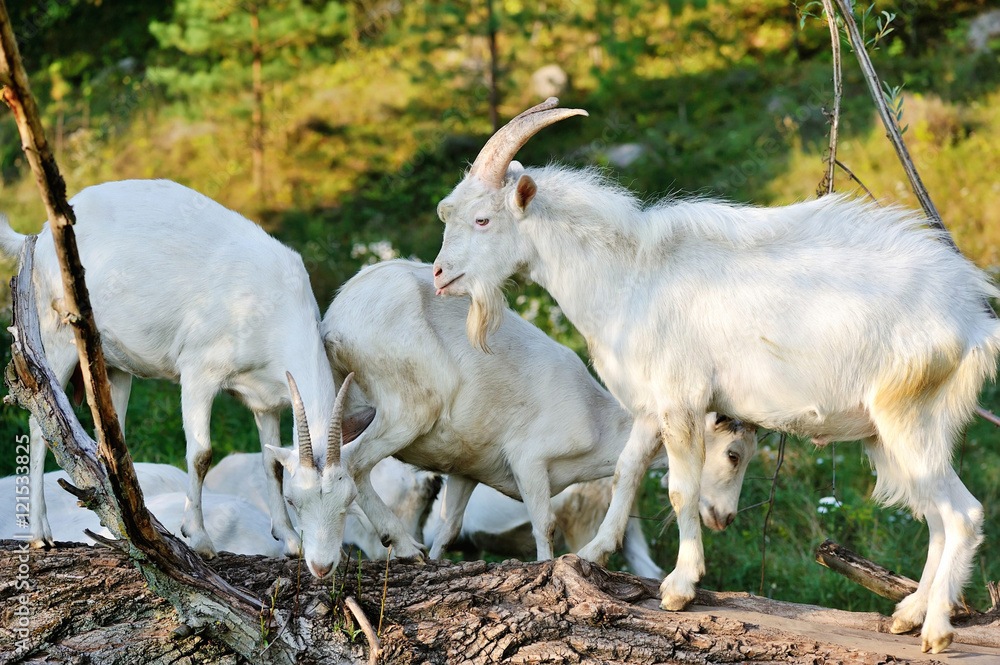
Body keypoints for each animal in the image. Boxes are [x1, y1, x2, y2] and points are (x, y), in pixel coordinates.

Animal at [0, 180, 367, 557]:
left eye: (349, 500)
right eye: (296, 501)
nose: (323, 564)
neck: (270, 309)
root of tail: (41, 235)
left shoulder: (265, 398)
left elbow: (272, 463)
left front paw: (290, 539)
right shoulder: (199, 371)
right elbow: (201, 454)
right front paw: (199, 538)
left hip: (111, 363)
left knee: (112, 436)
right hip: (54, 331)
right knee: (41, 421)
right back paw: (41, 533)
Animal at [267, 258, 756, 580]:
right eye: (734, 454)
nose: (725, 517)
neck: (596, 422)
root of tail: (338, 320)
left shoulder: (466, 469)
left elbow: (449, 527)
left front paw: (440, 562)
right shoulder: (529, 461)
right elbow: (544, 525)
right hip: (406, 409)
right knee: (354, 465)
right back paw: (402, 546)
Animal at [430, 97, 1000, 653]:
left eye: (482, 220)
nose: (439, 275)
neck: (628, 277)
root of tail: (972, 318)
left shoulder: (681, 398)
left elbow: (680, 489)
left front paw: (680, 588)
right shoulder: (650, 404)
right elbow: (626, 473)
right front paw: (593, 554)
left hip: (909, 415)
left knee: (962, 514)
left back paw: (936, 629)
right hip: (892, 432)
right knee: (934, 514)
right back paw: (908, 614)